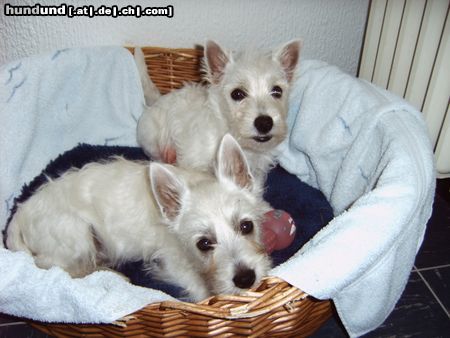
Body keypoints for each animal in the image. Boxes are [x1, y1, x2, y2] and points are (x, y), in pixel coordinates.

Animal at [5, 134, 270, 302]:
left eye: (246, 226)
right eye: (204, 243)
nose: (245, 278)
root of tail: (20, 213)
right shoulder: (172, 261)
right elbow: (197, 288)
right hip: (76, 235)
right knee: (59, 268)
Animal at [135, 40, 300, 185]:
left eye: (277, 91)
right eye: (237, 94)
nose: (265, 123)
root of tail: (157, 99)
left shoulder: (257, 170)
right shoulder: (194, 161)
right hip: (151, 139)